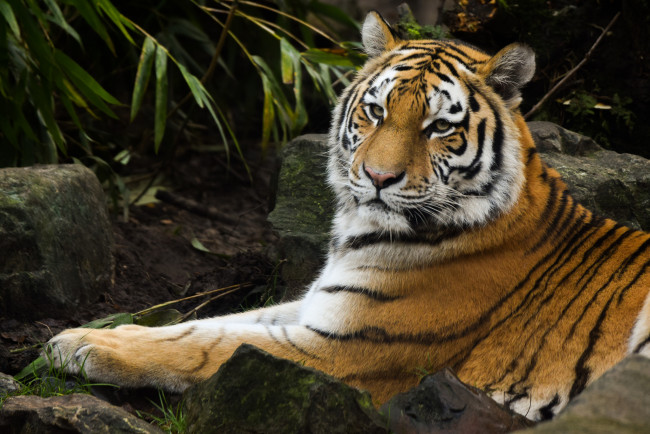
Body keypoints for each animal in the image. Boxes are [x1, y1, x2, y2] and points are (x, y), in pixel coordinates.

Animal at [47, 11, 650, 421]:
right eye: (376, 111)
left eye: (439, 127)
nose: (380, 178)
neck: (362, 234)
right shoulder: (321, 306)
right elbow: (207, 324)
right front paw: (101, 329)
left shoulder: (349, 349)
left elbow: (211, 346)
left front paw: (83, 347)